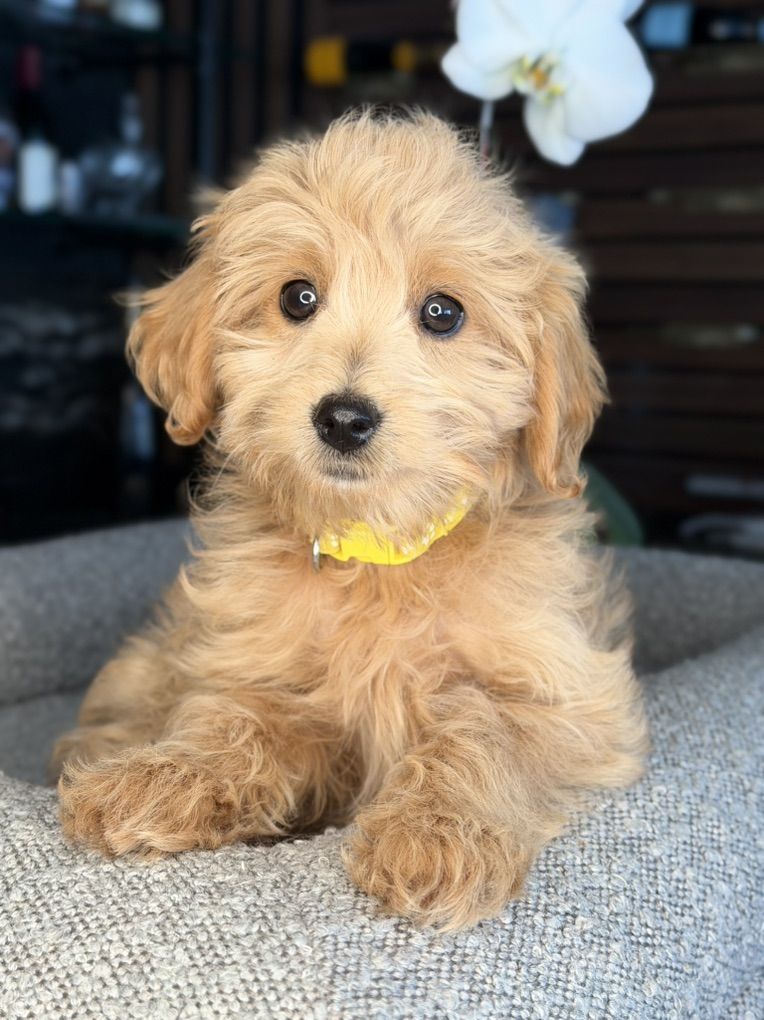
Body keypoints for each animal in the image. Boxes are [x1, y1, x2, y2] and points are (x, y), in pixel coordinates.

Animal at [52, 110, 647, 931]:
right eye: (298, 298)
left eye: (443, 313)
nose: (343, 418)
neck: (381, 550)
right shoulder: (253, 666)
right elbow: (241, 718)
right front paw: (163, 777)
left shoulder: (576, 698)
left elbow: (484, 724)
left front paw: (437, 834)